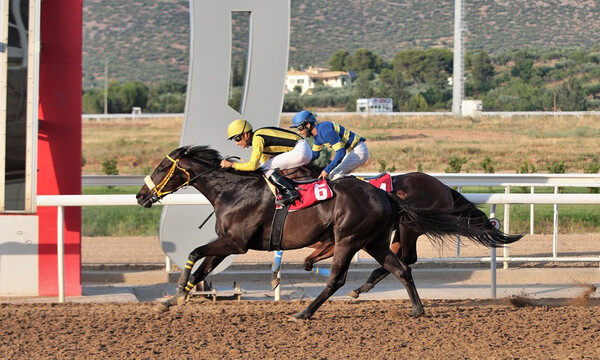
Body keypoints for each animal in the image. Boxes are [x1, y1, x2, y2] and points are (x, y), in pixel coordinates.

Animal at [137, 145, 482, 320]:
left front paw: (178, 291)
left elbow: (194, 252)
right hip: (373, 241)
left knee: (341, 278)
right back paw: (417, 309)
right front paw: (172, 300)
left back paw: (304, 312)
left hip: (352, 238)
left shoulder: (236, 242)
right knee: (400, 267)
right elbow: (202, 267)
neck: (232, 191)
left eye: (160, 168)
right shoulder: (229, 243)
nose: (140, 196)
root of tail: (385, 195)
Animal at [282, 166, 520, 298]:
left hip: (409, 224)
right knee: (400, 256)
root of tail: (444, 188)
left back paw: (366, 284)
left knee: (407, 256)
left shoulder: (340, 238)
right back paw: (364, 285)